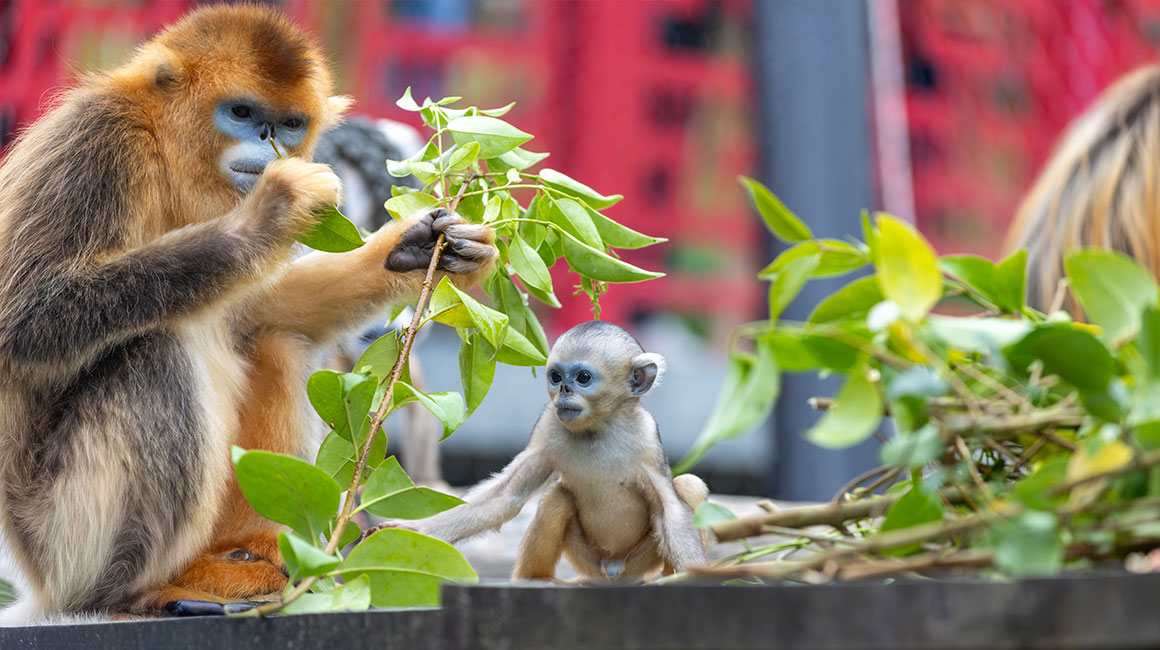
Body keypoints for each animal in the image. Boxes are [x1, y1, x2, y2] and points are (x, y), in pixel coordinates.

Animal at [0, 5, 496, 623]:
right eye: (241, 114)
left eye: (288, 124)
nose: (268, 141)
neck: (169, 156)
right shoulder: (97, 138)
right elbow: (24, 321)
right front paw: (269, 215)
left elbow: (263, 309)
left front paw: (420, 246)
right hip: (59, 537)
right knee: (156, 351)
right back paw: (135, 594)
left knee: (272, 336)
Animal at [367, 321, 708, 582]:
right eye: (556, 377)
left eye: (583, 378)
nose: (564, 391)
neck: (597, 431)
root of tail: (613, 574)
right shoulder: (548, 425)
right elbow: (505, 497)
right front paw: (416, 529)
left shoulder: (647, 437)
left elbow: (670, 511)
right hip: (587, 561)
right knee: (558, 496)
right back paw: (534, 578)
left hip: (640, 562)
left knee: (688, 484)